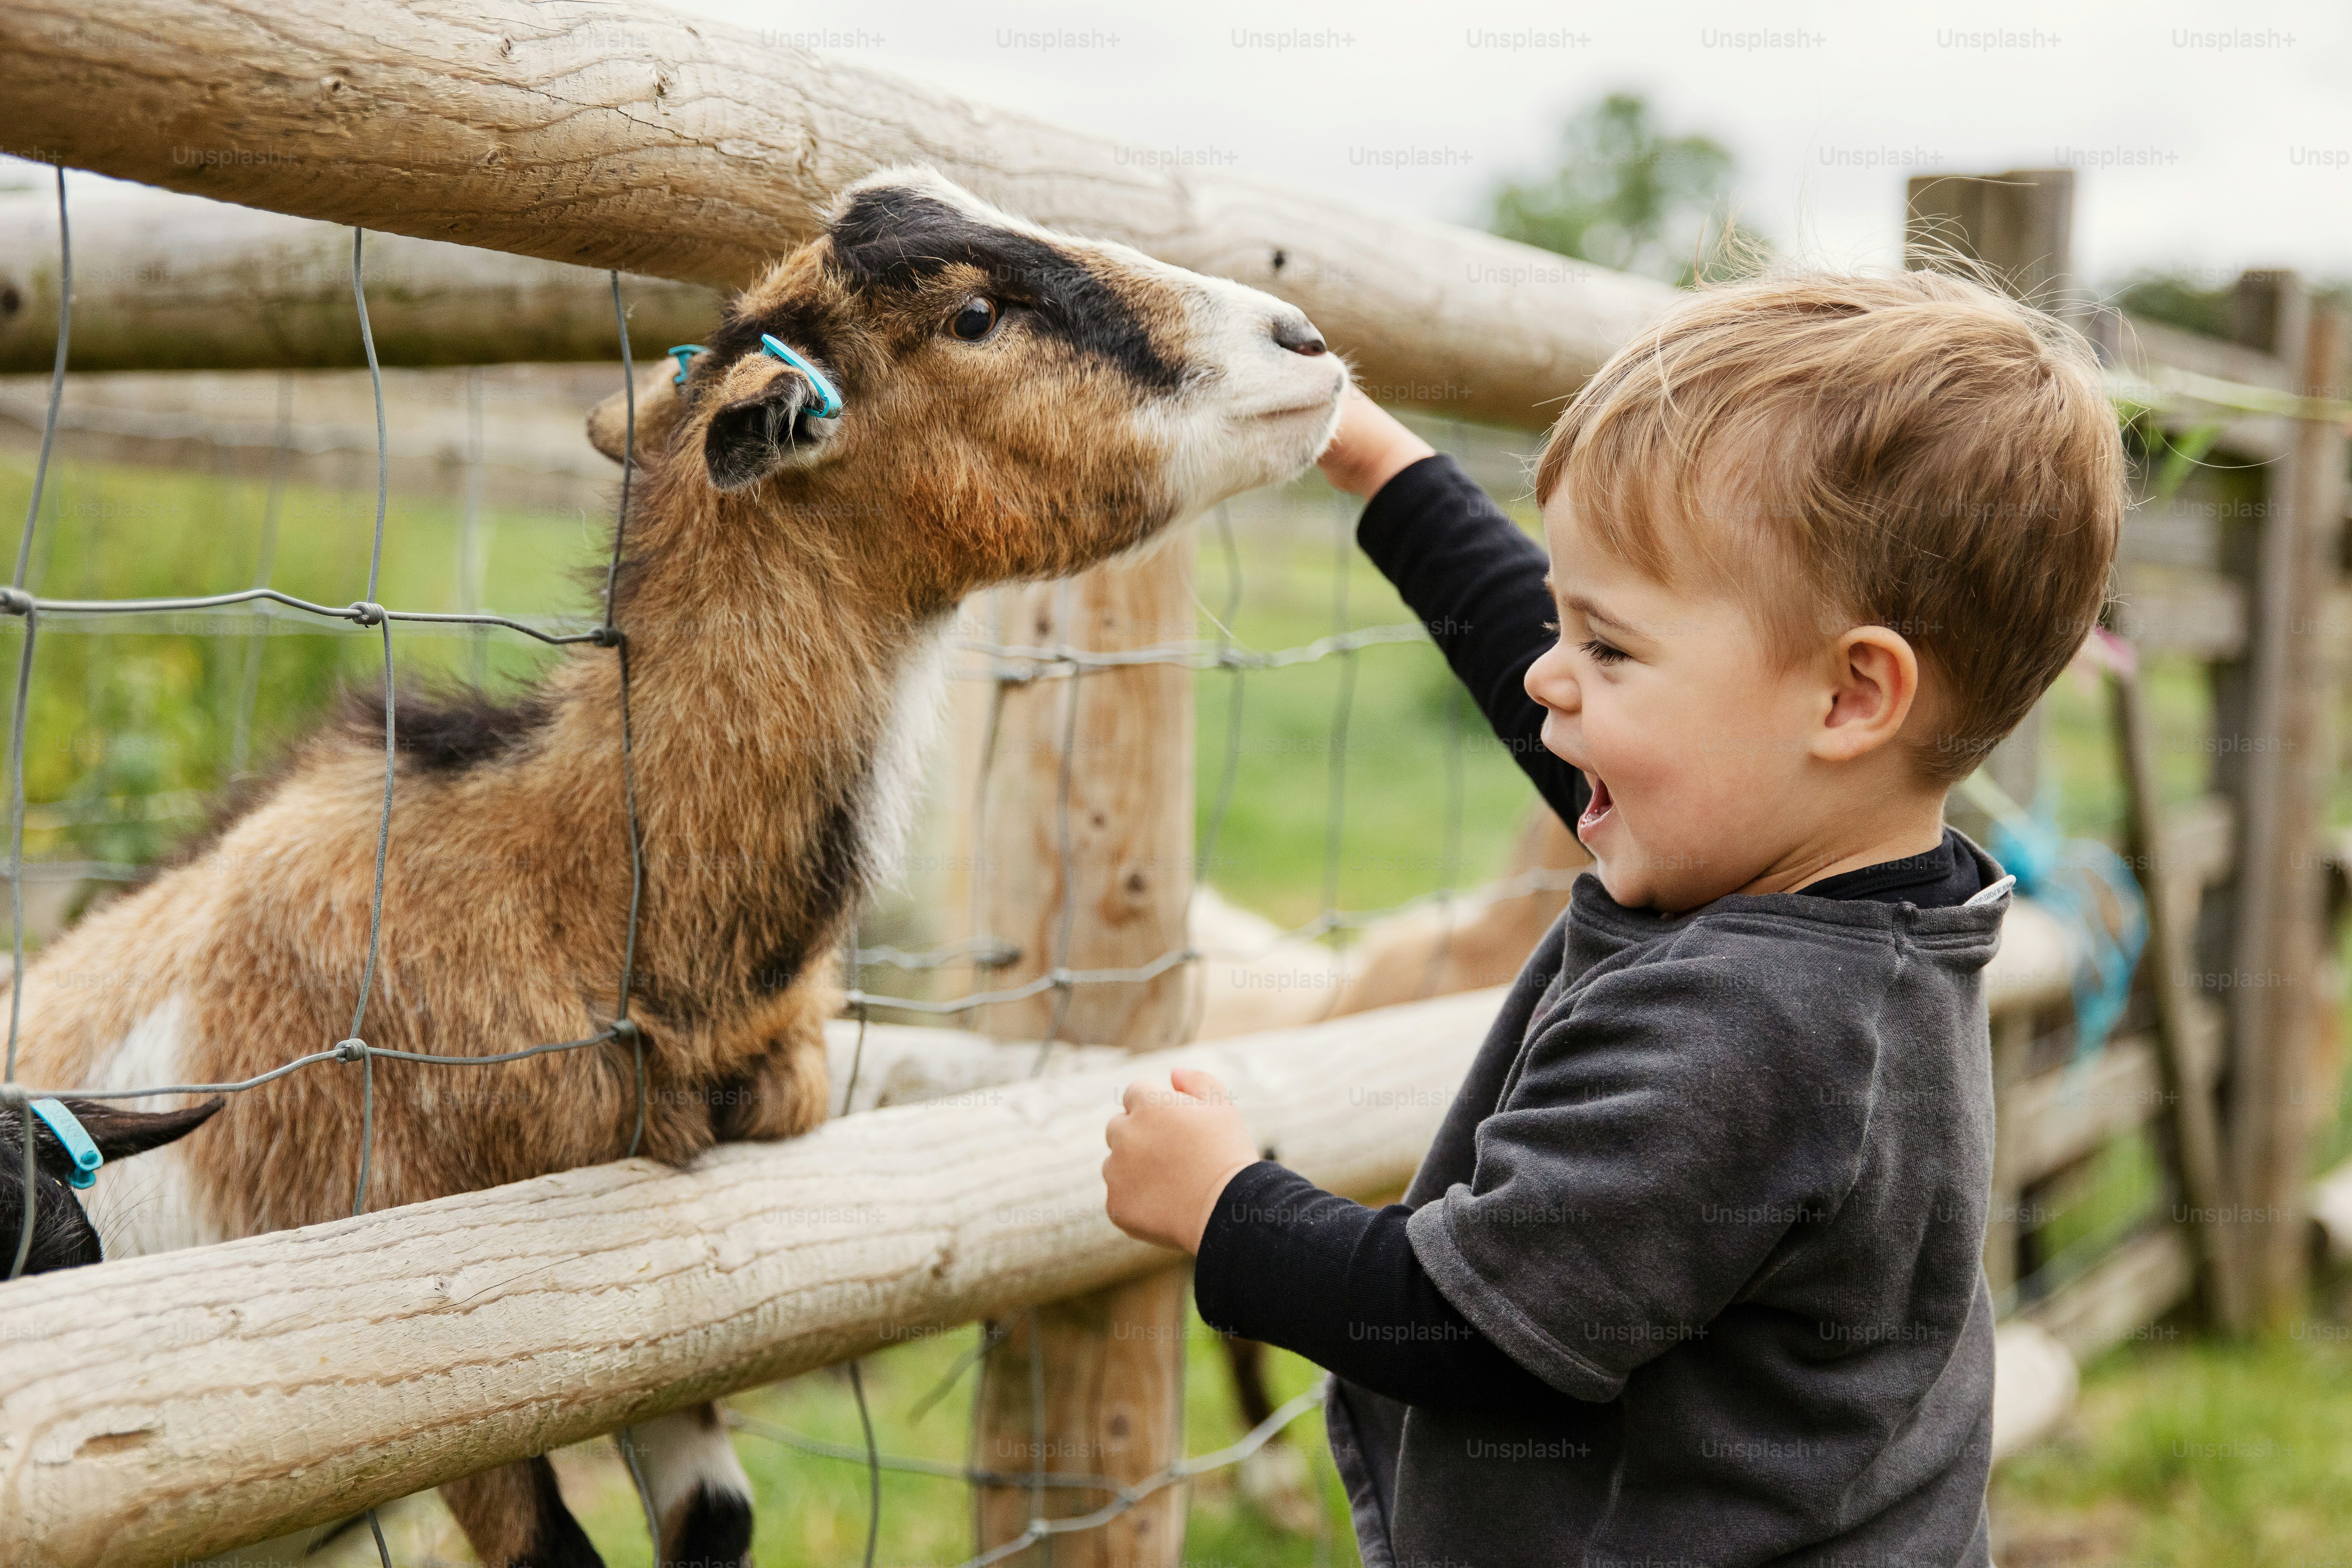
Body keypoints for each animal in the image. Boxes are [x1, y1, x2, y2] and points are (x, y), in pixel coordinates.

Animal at [4, 167, 1346, 1566]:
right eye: (976, 314)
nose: (1306, 343)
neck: (584, 899)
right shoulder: (432, 1333)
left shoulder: (658, 1317)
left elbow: (714, 1515)